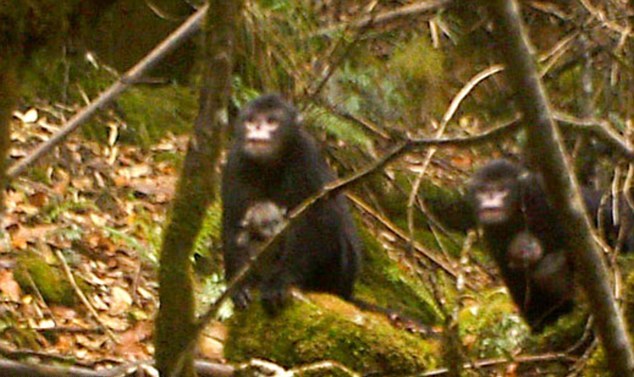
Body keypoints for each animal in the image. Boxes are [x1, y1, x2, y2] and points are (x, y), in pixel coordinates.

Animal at [222, 93, 360, 312]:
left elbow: (316, 223)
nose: (257, 129)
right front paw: (239, 285)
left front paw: (279, 282)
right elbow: (235, 222)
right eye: (251, 120)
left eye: (271, 121)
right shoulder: (235, 160)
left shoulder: (306, 157)